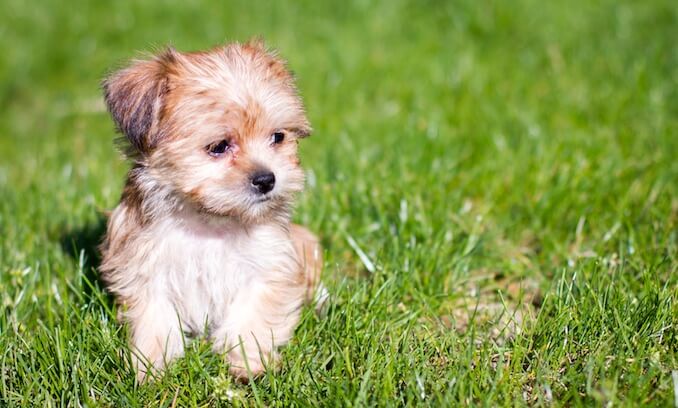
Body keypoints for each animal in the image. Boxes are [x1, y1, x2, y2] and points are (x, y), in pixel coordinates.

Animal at [98, 39, 326, 380]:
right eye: (219, 147)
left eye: (278, 137)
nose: (266, 179)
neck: (211, 221)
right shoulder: (144, 267)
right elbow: (155, 319)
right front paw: (152, 367)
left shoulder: (269, 266)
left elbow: (252, 315)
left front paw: (248, 363)